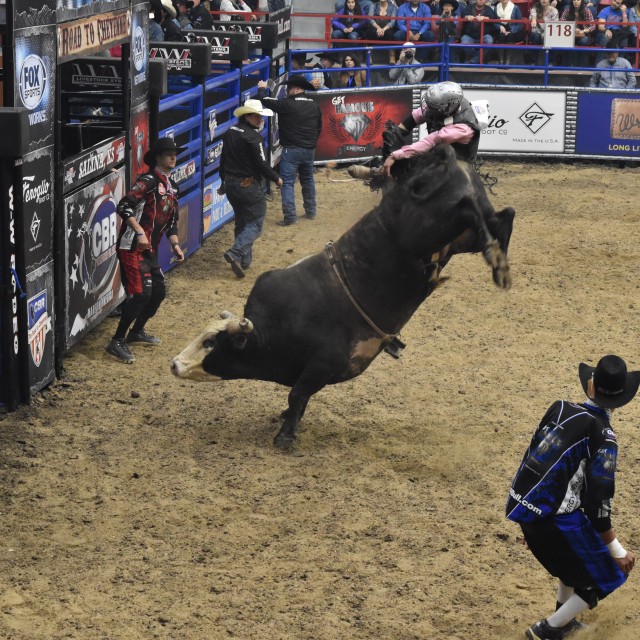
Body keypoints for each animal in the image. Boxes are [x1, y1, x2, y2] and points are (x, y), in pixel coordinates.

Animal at [171, 145, 515, 450]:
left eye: (210, 343)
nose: (175, 364)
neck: (274, 329)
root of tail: (445, 156)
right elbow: (299, 400)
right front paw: (288, 421)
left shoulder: (321, 365)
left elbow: (296, 395)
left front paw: (284, 436)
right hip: (461, 238)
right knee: (502, 217)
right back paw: (498, 258)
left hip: (434, 224)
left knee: (471, 209)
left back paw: (497, 263)